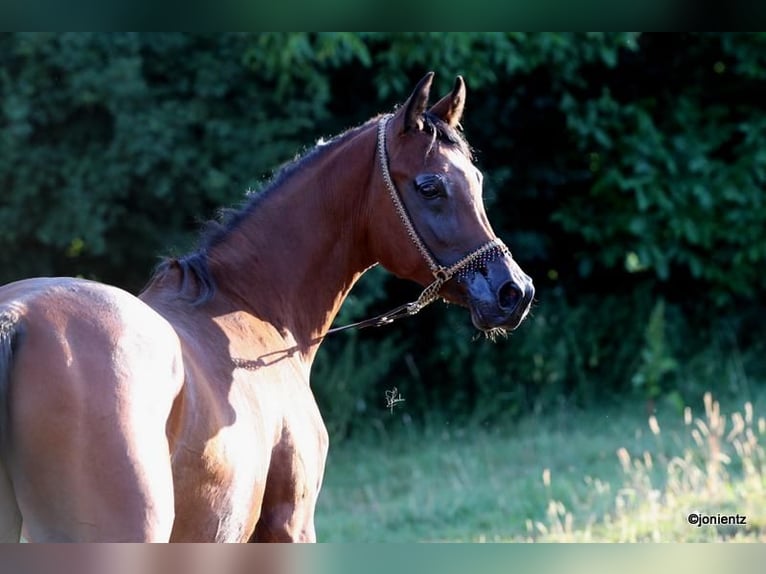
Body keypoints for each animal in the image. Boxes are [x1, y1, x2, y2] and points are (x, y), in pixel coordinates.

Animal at [0, 72, 534, 542]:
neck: (248, 307)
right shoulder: (290, 525)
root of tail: (17, 321)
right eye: (430, 186)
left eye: (476, 179)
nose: (514, 291)